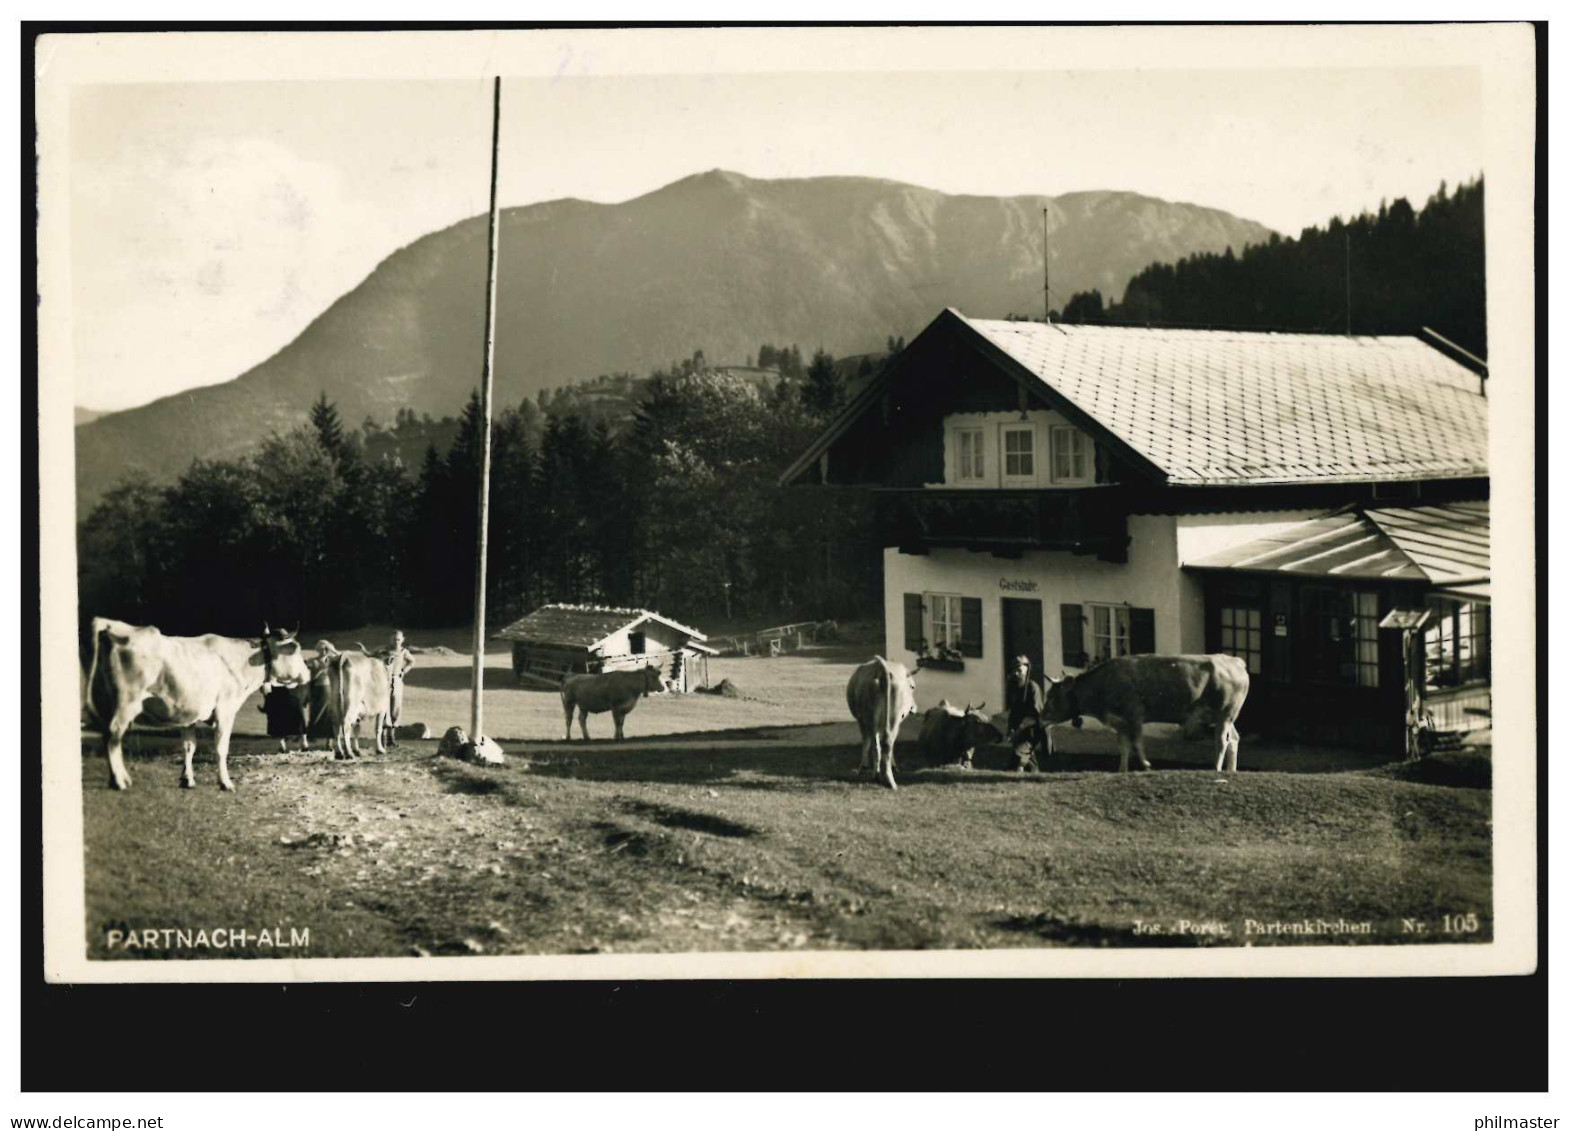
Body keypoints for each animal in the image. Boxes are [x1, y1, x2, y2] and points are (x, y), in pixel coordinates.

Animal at [847, 658, 916, 790]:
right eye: (912, 687)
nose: (913, 707)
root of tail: (880, 666)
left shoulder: (863, 722)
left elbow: (868, 743)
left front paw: (863, 767)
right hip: (890, 718)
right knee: (885, 743)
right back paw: (887, 779)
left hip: (872, 718)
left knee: (877, 746)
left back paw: (878, 776)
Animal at [1041, 649, 1248, 771]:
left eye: (1052, 697)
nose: (1041, 718)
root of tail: (1234, 661)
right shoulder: (1120, 722)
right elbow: (1124, 745)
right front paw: (1122, 770)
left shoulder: (1134, 713)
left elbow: (1137, 741)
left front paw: (1146, 765)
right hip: (1226, 717)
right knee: (1234, 740)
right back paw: (1231, 770)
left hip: (1224, 713)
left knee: (1221, 741)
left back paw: (1217, 769)